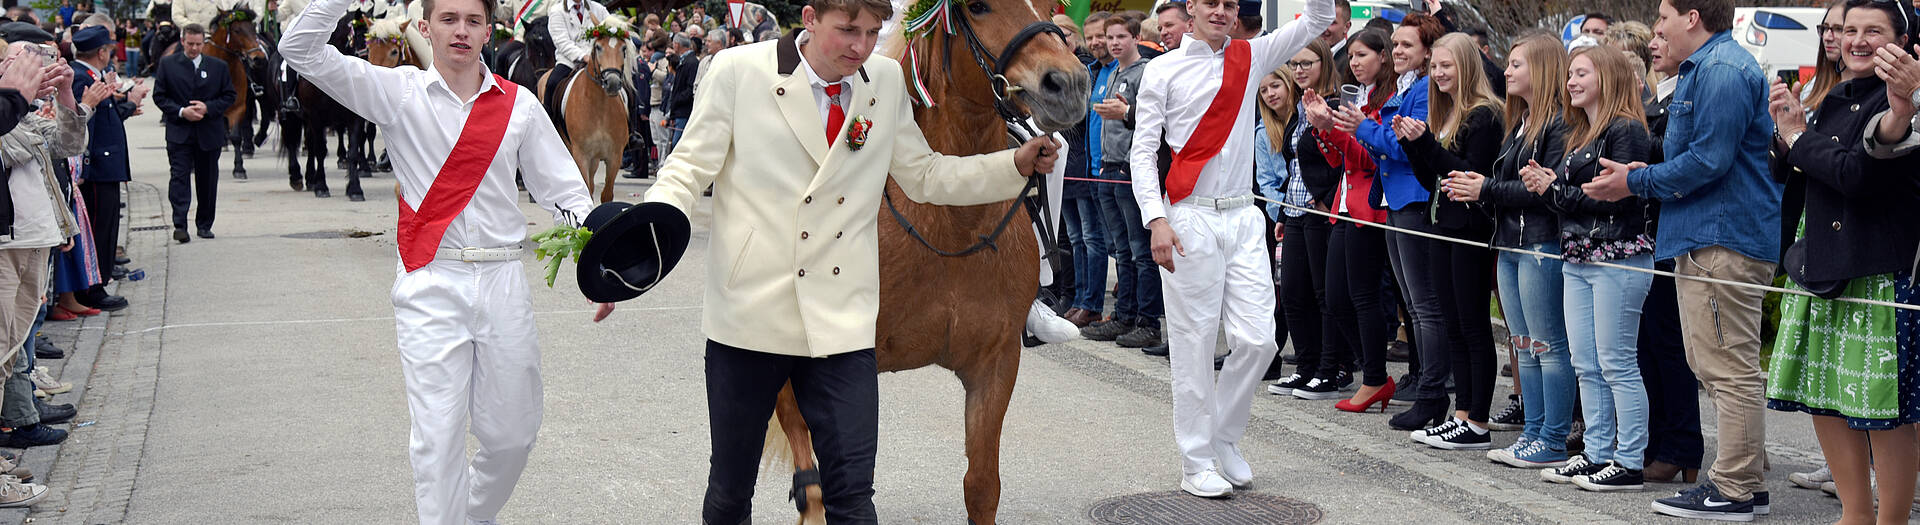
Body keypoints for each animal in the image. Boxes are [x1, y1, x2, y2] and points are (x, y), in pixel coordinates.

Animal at [764, 1, 1098, 523]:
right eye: (978, 7)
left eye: (1050, 8)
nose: (1067, 84)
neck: (949, 218)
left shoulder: (996, 362)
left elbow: (981, 486)